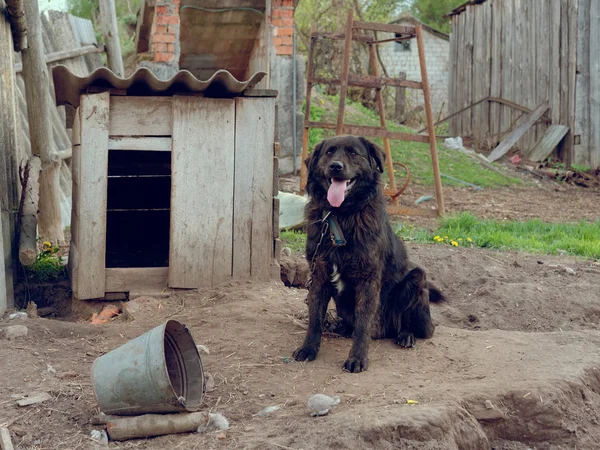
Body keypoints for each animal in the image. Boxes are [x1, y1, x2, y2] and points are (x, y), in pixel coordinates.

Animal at [292, 136, 442, 372]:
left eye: (354, 153)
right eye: (329, 152)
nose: (336, 166)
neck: (341, 216)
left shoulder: (368, 279)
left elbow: (363, 324)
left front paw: (357, 358)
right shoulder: (319, 274)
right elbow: (314, 317)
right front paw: (308, 349)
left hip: (418, 278)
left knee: (419, 327)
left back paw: (406, 336)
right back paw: (341, 327)